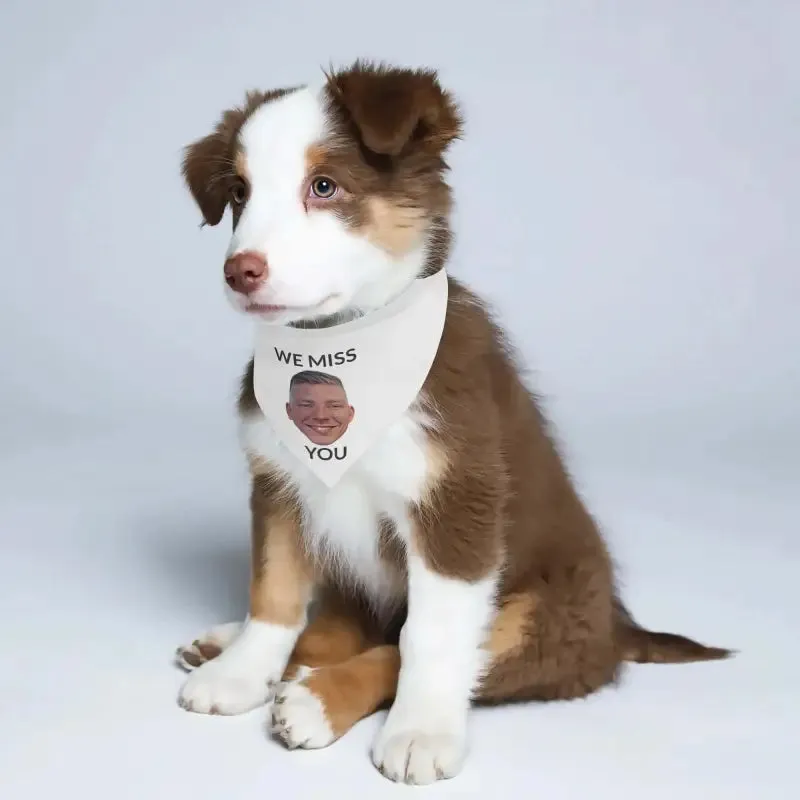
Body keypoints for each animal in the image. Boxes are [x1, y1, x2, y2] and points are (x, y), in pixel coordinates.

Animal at [175, 59, 732, 784]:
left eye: (324, 186)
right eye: (239, 193)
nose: (239, 271)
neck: (346, 342)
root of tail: (616, 628)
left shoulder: (457, 505)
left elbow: (431, 639)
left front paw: (420, 732)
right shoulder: (278, 483)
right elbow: (273, 591)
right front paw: (242, 671)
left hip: (539, 618)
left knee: (419, 648)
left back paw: (317, 699)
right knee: (337, 622)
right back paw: (231, 644)